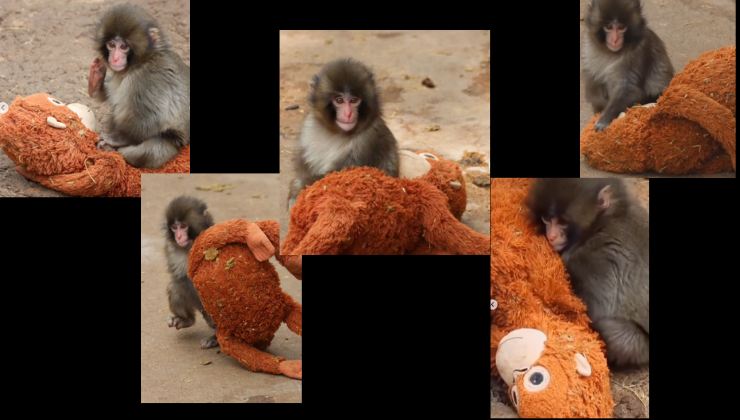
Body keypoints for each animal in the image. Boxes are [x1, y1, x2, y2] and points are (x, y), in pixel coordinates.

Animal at [88, 4, 190, 168]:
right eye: (111, 45)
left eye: (123, 46)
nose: (115, 58)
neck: (141, 62)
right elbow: (112, 97)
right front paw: (95, 80)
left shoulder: (149, 78)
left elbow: (150, 118)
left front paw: (114, 140)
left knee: (150, 151)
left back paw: (116, 152)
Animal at [164, 196, 217, 349]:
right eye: (174, 227)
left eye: (183, 226)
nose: (178, 237)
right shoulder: (171, 249)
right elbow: (181, 280)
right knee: (175, 287)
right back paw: (187, 320)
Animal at [288, 58, 400, 206]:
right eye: (339, 100)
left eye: (354, 100)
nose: (348, 114)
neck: (337, 133)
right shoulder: (308, 129)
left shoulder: (368, 139)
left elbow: (337, 179)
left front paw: (298, 188)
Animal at [583, 0, 674, 131]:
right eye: (609, 27)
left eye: (621, 27)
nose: (615, 40)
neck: (611, 52)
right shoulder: (589, 51)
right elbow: (593, 85)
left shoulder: (639, 51)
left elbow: (629, 89)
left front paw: (604, 119)